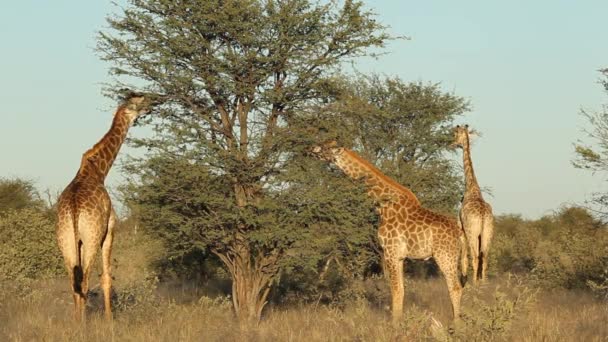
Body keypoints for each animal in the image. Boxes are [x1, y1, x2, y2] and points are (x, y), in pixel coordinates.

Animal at [55, 94, 151, 320]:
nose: (151, 106)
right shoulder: (110, 229)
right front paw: (110, 321)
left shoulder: (79, 241)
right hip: (91, 238)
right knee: (85, 281)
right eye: (138, 102)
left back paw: (76, 322)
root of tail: (73, 210)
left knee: (74, 283)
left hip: (66, 241)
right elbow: (107, 277)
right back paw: (84, 324)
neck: (98, 171)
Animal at [312, 143, 468, 322]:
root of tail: (461, 232)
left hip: (445, 256)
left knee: (455, 287)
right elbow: (401, 289)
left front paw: (395, 324)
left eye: (325, 148)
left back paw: (456, 324)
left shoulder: (390, 251)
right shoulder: (399, 256)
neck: (383, 205)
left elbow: (395, 290)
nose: (312, 149)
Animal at [452, 124, 494, 284]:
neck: (471, 187)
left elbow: (463, 257)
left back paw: (475, 283)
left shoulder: (461, 228)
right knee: (485, 257)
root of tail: (482, 216)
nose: (452, 144)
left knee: (475, 256)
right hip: (488, 232)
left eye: (455, 134)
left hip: (472, 232)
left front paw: (463, 281)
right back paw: (483, 283)